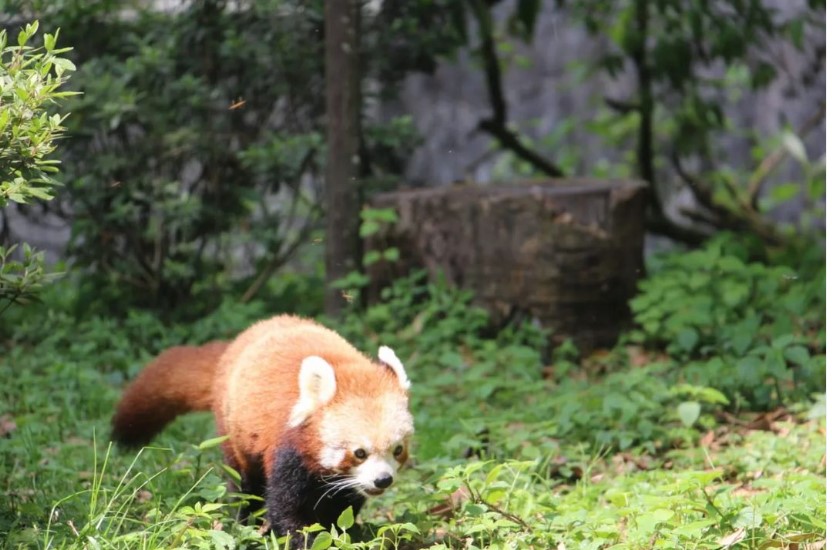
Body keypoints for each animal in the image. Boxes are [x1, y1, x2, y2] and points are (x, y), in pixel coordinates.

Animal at [109, 314, 414, 548]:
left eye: (397, 450)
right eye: (360, 453)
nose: (383, 480)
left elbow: (342, 509)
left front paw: (347, 533)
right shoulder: (286, 450)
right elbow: (286, 508)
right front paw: (306, 540)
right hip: (234, 434)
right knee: (246, 486)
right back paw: (247, 521)